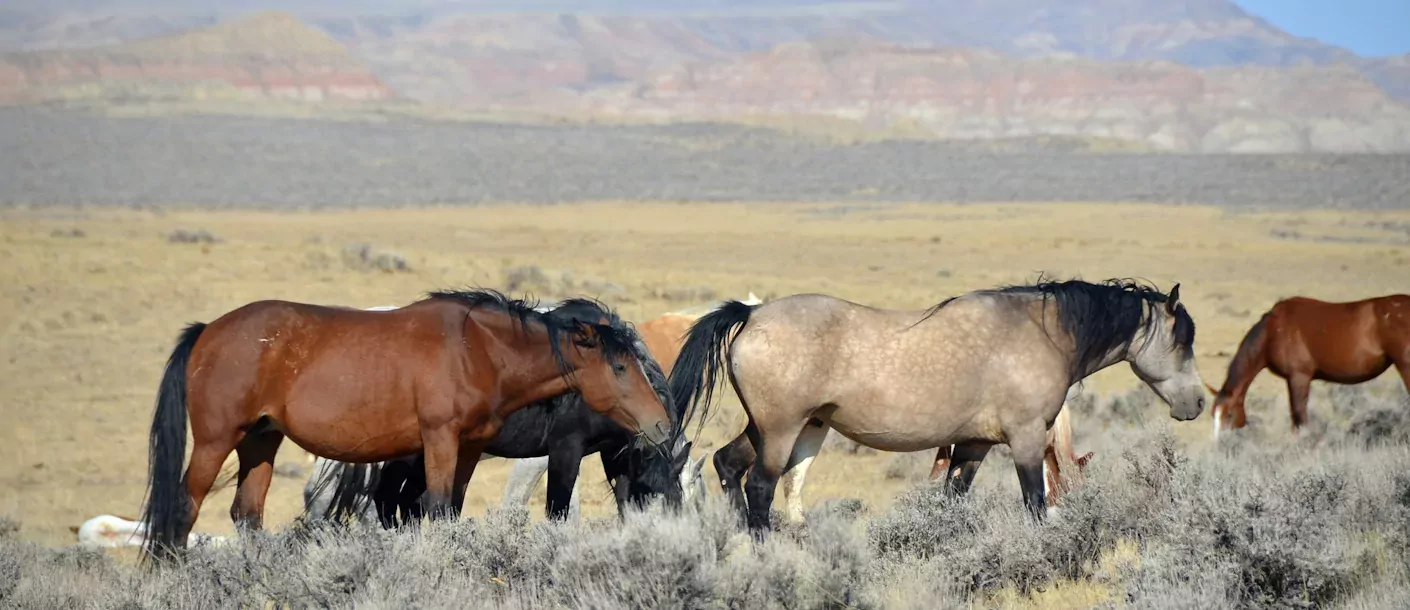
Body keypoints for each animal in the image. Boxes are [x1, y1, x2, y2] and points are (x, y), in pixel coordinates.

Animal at [671, 277, 1201, 535]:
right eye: (1183, 339)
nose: (1196, 403)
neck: (1041, 332)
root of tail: (752, 313)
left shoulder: (973, 446)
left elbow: (953, 501)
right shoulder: (1027, 439)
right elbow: (1035, 502)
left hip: (771, 427)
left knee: (728, 465)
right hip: (782, 431)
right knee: (760, 486)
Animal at [1201, 293, 1410, 433]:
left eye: (1229, 414)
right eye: (1212, 415)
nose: (1221, 445)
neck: (1272, 332)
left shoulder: (1299, 378)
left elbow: (1299, 418)